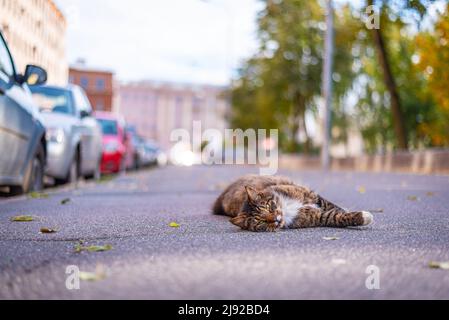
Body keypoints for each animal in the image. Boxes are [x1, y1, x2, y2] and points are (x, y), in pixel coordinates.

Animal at [212, 175, 372, 232]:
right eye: (261, 222)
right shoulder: (317, 217)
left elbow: (334, 207)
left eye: (269, 207)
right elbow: (337, 217)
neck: (286, 207)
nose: (276, 219)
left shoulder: (313, 197)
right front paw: (363, 217)